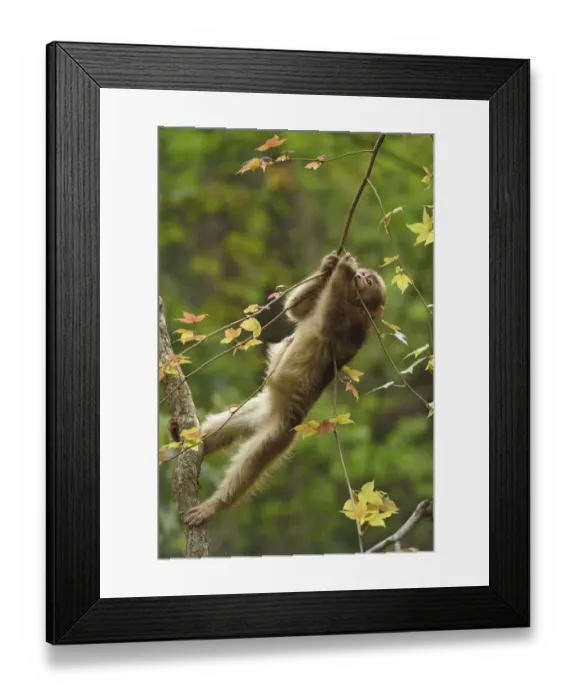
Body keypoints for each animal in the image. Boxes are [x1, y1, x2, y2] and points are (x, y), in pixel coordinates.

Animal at [182, 251, 386, 527]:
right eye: (365, 276)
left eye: (369, 281)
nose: (359, 276)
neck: (356, 306)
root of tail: (272, 416)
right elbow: (298, 310)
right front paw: (331, 265)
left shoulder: (353, 323)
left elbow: (325, 320)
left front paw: (343, 269)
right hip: (258, 410)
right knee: (225, 426)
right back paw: (189, 439)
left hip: (281, 432)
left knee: (254, 458)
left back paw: (217, 503)